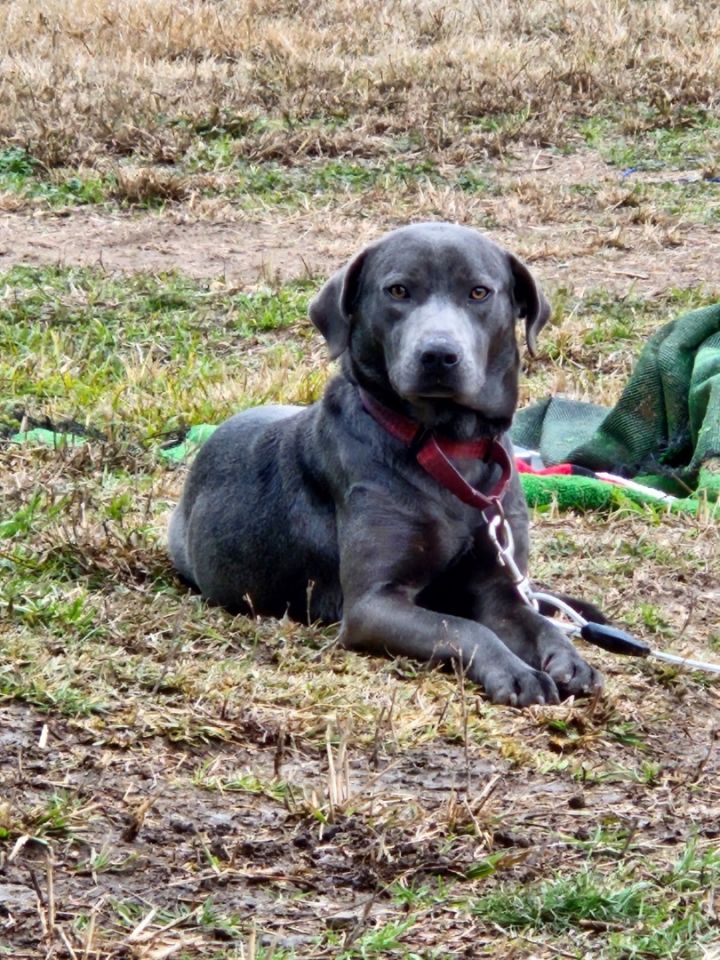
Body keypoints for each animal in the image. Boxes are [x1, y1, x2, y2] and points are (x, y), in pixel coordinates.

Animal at [169, 223, 600, 704]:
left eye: (479, 292)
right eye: (397, 290)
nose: (438, 355)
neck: (446, 446)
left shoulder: (499, 586)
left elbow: (536, 622)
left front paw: (568, 659)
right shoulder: (372, 605)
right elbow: (462, 628)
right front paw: (516, 673)